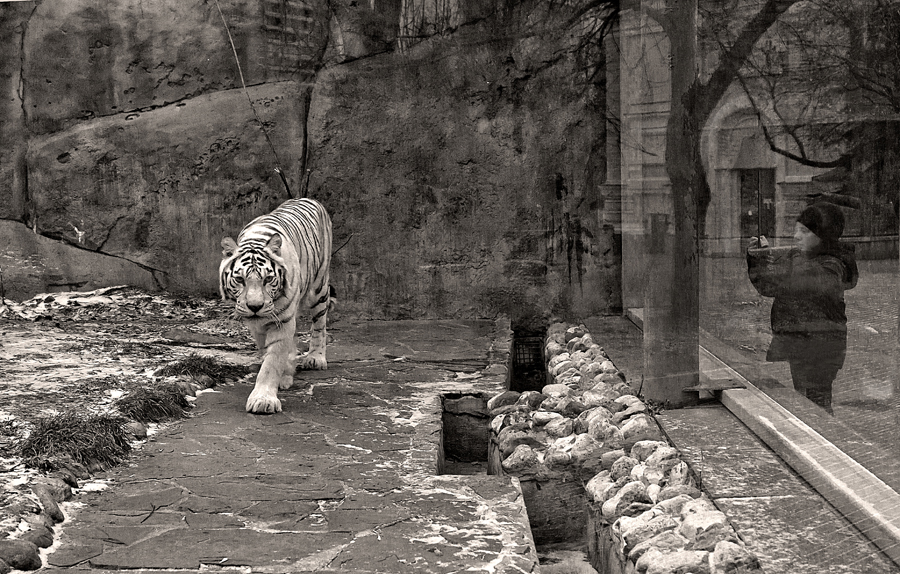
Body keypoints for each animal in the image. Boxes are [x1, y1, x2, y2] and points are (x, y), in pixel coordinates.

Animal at [219, 198, 333, 414]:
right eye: (240, 279)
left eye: (268, 279)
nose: (255, 306)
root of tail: (307, 198)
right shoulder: (257, 324)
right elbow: (268, 352)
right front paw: (284, 374)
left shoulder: (282, 320)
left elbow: (271, 363)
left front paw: (263, 400)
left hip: (318, 288)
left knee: (319, 322)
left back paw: (316, 358)